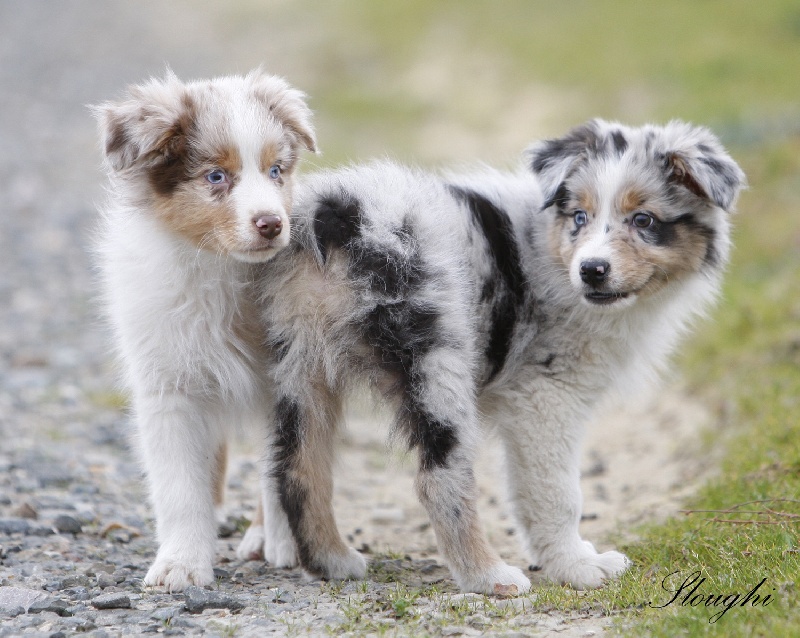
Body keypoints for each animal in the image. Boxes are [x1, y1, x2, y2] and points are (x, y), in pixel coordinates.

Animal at [93, 71, 316, 596]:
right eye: (217, 176)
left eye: (276, 171)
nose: (272, 224)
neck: (217, 269)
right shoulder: (168, 388)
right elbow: (181, 487)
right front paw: (181, 564)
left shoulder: (284, 381)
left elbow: (280, 472)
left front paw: (285, 544)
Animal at [244, 119, 744, 596]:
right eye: (580, 216)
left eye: (643, 220)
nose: (592, 270)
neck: (549, 247)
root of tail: (337, 212)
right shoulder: (546, 397)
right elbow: (557, 493)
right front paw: (577, 566)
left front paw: (573, 557)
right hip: (439, 358)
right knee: (438, 479)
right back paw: (488, 576)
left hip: (299, 360)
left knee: (296, 465)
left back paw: (329, 560)